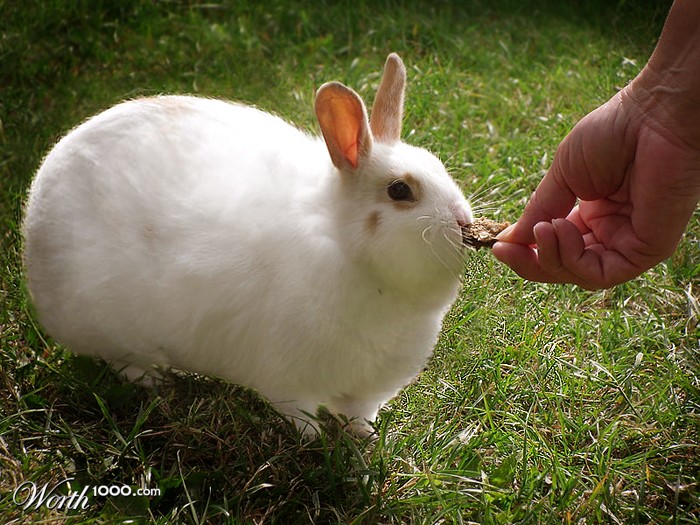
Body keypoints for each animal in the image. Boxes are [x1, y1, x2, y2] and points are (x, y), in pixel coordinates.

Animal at [22, 53, 473, 437]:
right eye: (400, 191)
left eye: (440, 167)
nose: (464, 222)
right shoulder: (288, 381)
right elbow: (299, 415)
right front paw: (312, 440)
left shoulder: (368, 391)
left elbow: (359, 416)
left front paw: (365, 438)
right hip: (107, 328)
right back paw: (156, 379)